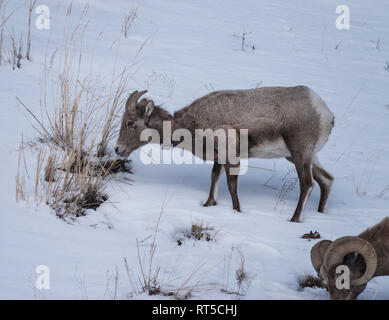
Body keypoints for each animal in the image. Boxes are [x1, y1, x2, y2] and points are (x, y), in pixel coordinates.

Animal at [114, 87, 334, 222]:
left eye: (130, 122)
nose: (118, 149)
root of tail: (325, 114)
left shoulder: (230, 156)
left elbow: (231, 185)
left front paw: (237, 211)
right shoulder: (219, 158)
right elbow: (214, 178)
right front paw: (209, 204)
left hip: (300, 155)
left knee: (308, 184)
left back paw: (294, 219)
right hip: (304, 157)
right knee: (327, 180)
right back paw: (321, 212)